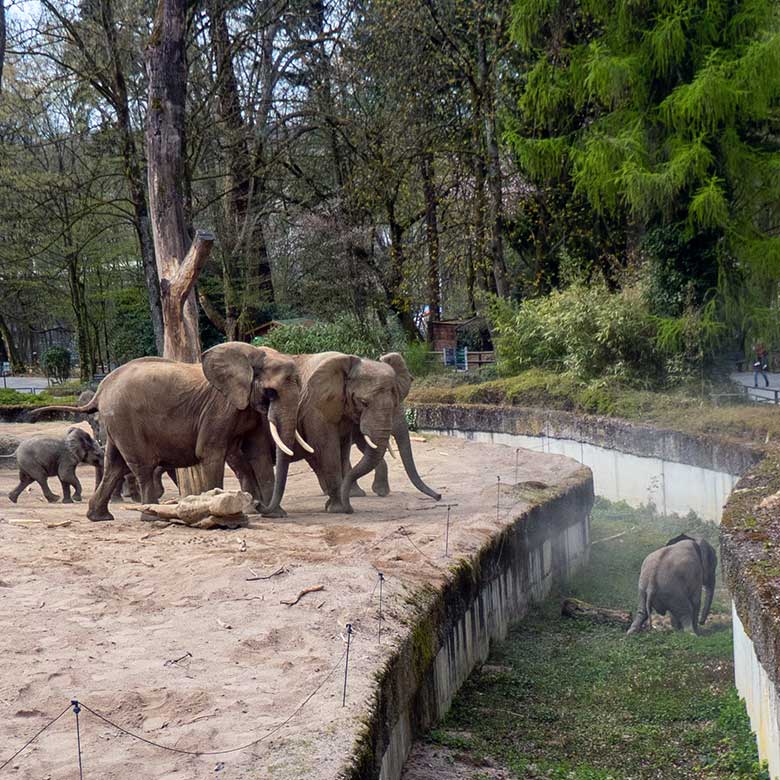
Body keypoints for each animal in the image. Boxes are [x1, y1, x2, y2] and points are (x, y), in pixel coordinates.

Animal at [262, 350, 442, 516]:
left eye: (396, 401)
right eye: (363, 402)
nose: (439, 496)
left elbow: (344, 448)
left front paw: (345, 501)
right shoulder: (316, 408)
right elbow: (327, 448)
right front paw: (339, 508)